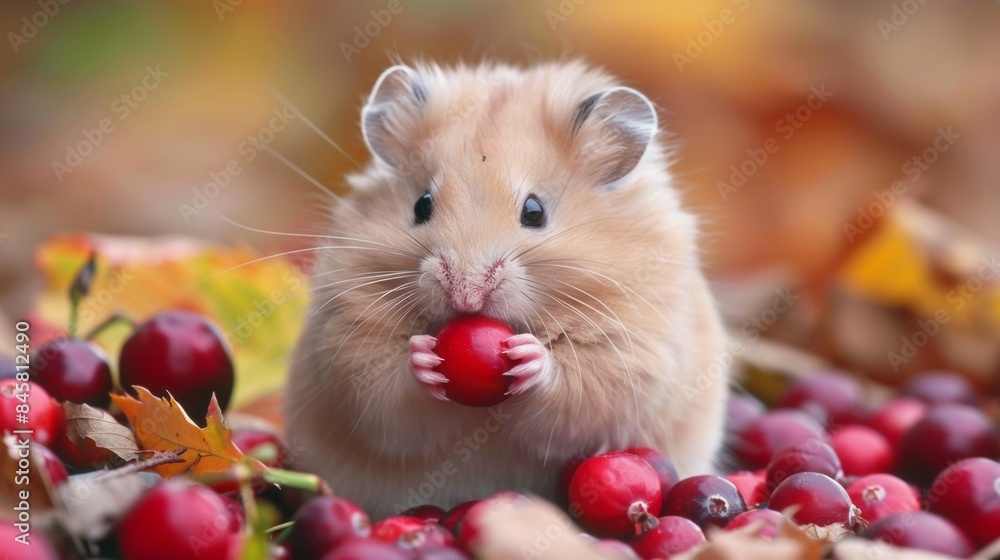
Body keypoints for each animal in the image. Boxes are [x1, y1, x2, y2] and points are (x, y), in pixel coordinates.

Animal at [285, 61, 729, 519]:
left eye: (534, 211)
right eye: (422, 204)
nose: (465, 296)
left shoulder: (632, 350)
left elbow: (581, 386)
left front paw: (528, 357)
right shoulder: (346, 341)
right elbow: (385, 392)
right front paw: (424, 356)